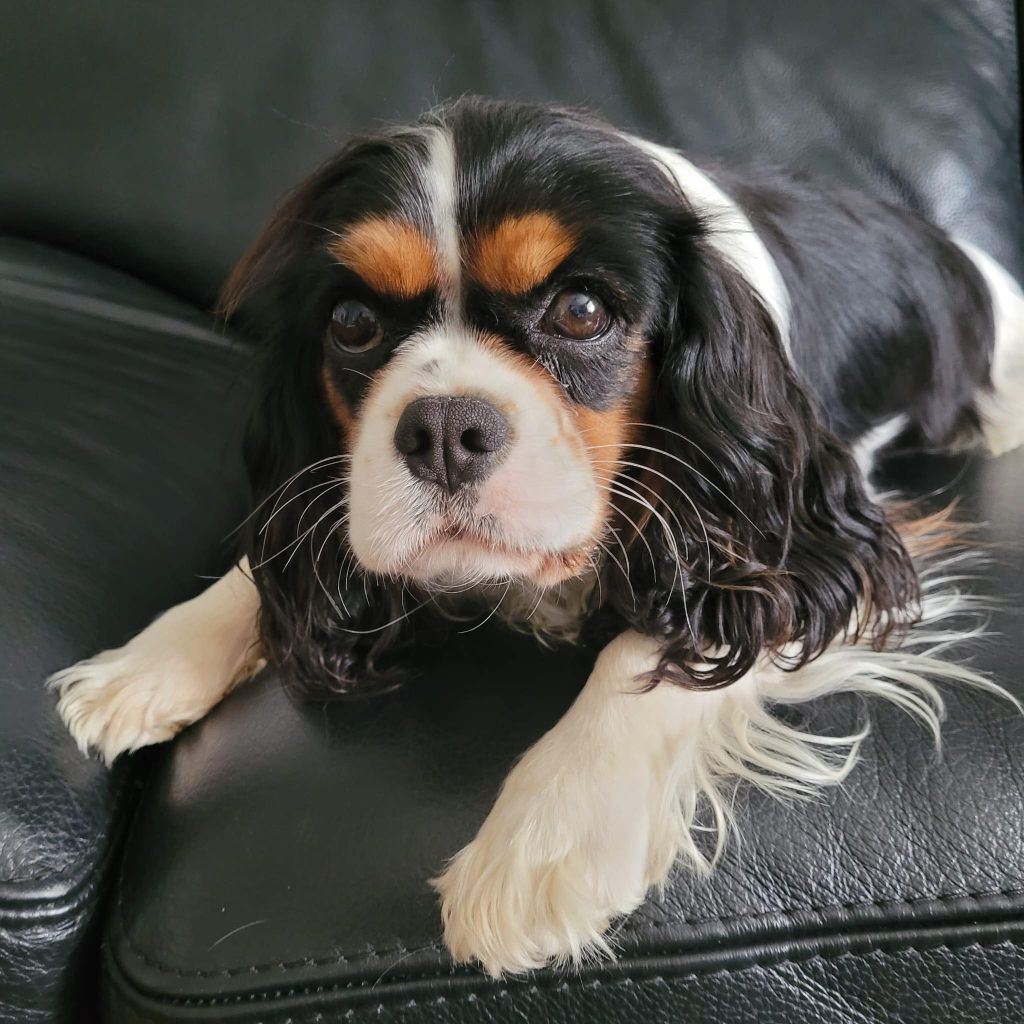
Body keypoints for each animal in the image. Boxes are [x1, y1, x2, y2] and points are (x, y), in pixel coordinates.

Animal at [48, 97, 1024, 974]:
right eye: (352, 324)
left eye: (582, 314)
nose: (444, 428)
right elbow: (275, 556)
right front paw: (152, 661)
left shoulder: (819, 535)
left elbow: (659, 645)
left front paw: (545, 840)